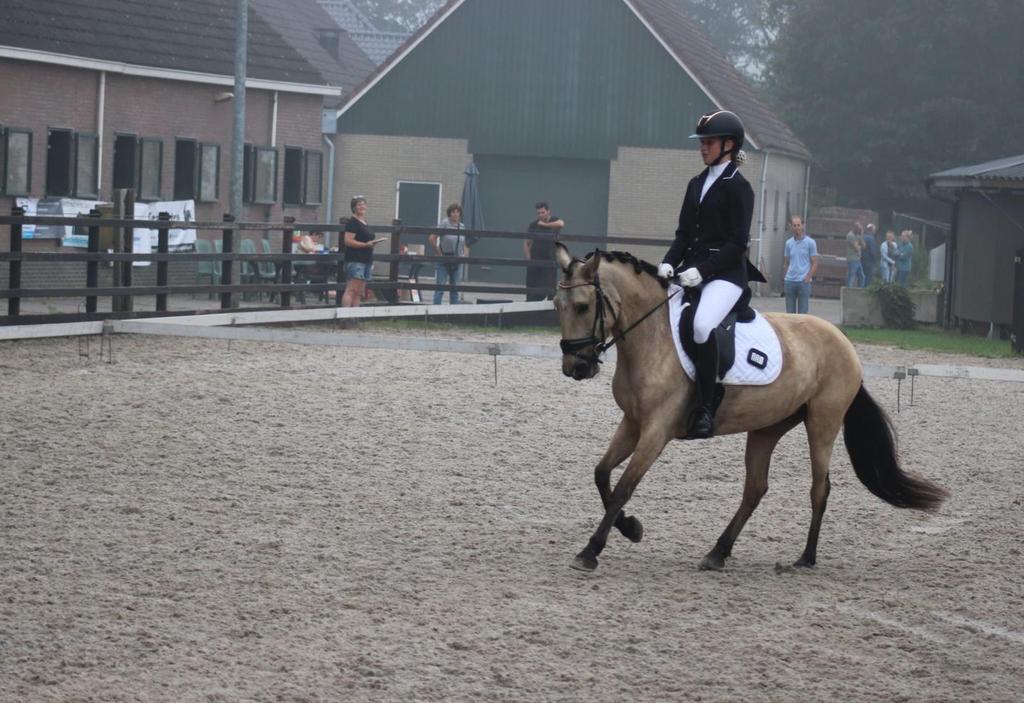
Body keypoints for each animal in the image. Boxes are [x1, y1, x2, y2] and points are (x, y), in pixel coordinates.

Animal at [552, 244, 948, 572]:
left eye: (583, 306)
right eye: (557, 305)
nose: (576, 368)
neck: (652, 337)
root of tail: (844, 342)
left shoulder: (656, 431)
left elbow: (623, 487)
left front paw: (591, 551)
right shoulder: (633, 423)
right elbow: (601, 474)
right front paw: (631, 528)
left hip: (823, 423)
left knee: (819, 488)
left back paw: (805, 558)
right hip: (767, 427)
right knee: (755, 489)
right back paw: (717, 552)